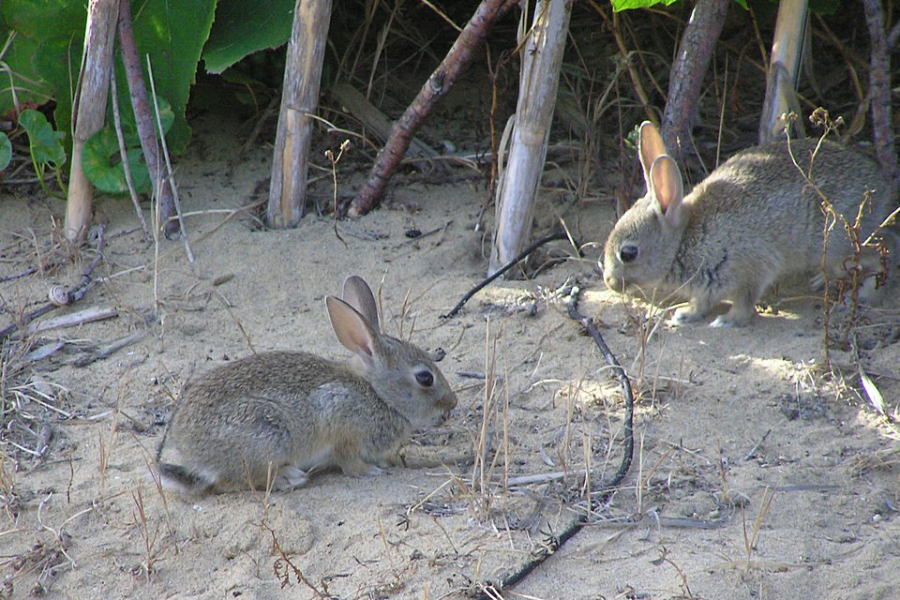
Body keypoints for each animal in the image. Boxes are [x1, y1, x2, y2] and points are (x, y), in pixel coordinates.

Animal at [154, 276, 458, 492]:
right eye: (425, 378)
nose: (452, 402)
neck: (378, 394)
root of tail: (193, 457)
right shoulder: (342, 425)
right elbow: (348, 461)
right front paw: (370, 471)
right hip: (265, 436)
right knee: (234, 482)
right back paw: (289, 478)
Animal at [604, 122, 892, 328]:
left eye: (628, 253)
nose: (609, 282)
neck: (684, 240)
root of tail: (882, 187)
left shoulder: (750, 267)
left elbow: (745, 301)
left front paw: (727, 321)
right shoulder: (706, 286)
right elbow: (701, 302)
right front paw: (685, 315)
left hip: (839, 244)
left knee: (884, 255)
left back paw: (863, 295)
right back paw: (820, 281)